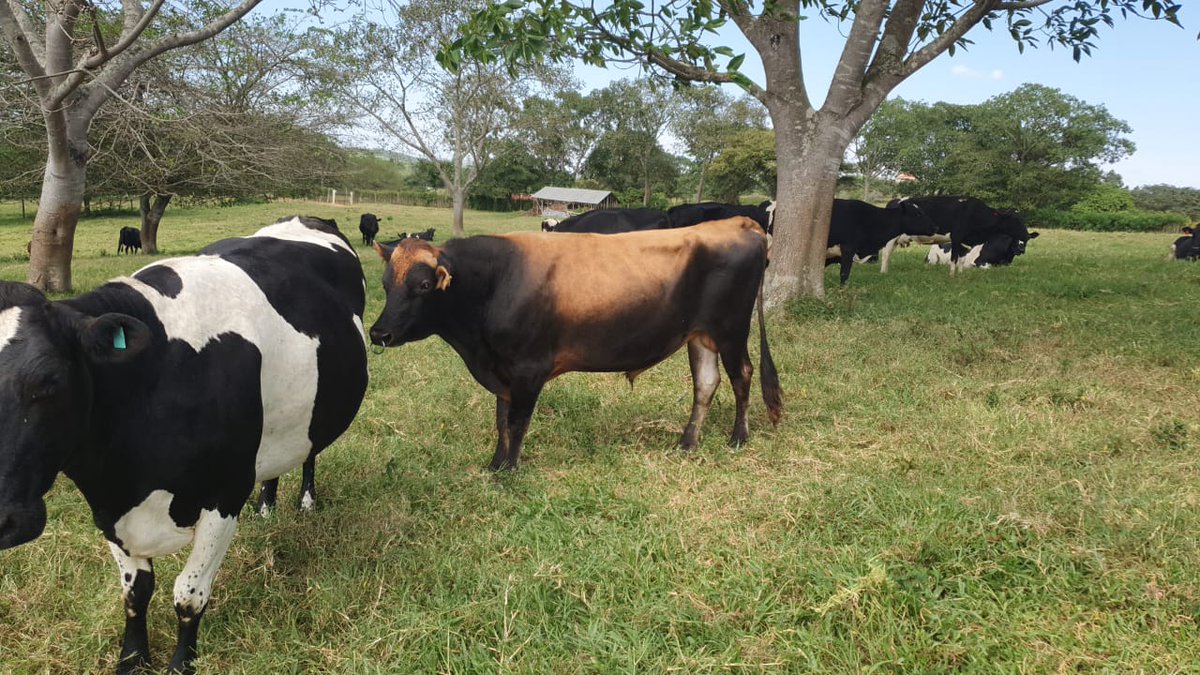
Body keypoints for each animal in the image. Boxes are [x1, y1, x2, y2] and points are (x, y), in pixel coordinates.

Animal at [0, 216, 368, 674]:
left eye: (49, 382)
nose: (3, 521)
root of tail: (307, 218)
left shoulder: (225, 494)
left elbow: (188, 595)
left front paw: (180, 663)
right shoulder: (109, 506)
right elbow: (135, 592)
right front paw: (133, 659)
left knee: (310, 452)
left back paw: (305, 501)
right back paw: (267, 505)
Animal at [367, 217, 782, 471]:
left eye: (423, 285)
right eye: (386, 284)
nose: (378, 333)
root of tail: (738, 222)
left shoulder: (528, 368)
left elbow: (517, 421)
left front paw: (510, 469)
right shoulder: (502, 370)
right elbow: (501, 419)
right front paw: (495, 464)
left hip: (730, 330)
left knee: (742, 376)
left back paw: (738, 437)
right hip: (700, 336)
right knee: (706, 384)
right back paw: (687, 441)